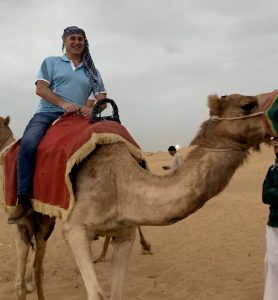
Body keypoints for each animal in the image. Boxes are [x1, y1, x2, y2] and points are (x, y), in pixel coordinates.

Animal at [0, 92, 274, 298]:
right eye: (247, 105)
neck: (119, 184)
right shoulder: (75, 229)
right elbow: (96, 293)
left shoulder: (125, 233)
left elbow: (116, 293)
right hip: (21, 209)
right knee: (23, 252)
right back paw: (23, 285)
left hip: (46, 216)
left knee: (39, 255)